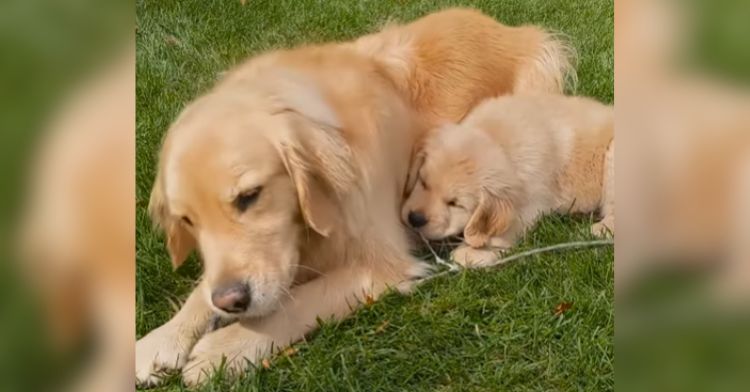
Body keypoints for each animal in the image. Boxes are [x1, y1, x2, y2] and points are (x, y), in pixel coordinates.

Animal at [135, 7, 576, 388]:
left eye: (250, 195)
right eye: (187, 220)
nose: (232, 303)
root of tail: (510, 26)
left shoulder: (380, 261)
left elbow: (297, 303)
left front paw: (223, 349)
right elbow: (205, 287)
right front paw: (161, 340)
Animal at [402, 93, 612, 268]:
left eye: (455, 203)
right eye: (423, 182)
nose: (415, 219)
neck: (496, 137)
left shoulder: (534, 200)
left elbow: (508, 227)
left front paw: (473, 252)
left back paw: (594, 231)